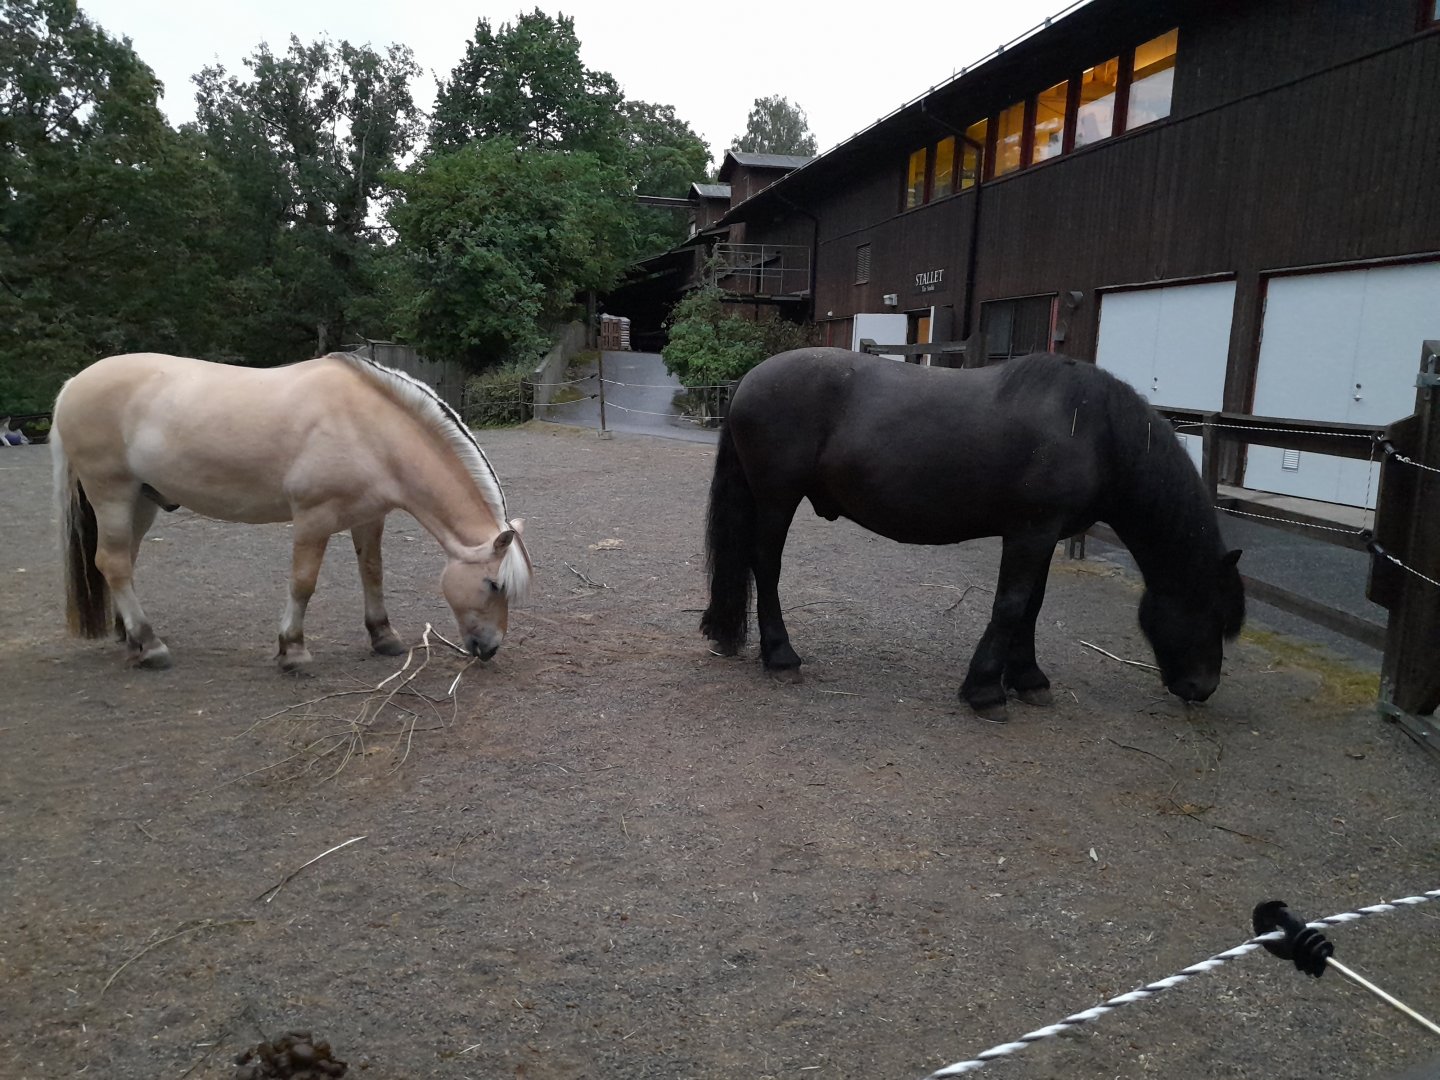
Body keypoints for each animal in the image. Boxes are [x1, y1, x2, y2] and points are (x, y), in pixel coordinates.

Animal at [52, 351, 531, 670]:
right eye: (493, 584)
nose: (490, 648)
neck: (368, 428)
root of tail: (72, 384)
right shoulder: (312, 519)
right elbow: (303, 583)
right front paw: (293, 649)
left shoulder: (368, 517)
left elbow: (372, 573)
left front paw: (384, 637)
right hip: (112, 493)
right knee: (113, 563)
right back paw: (150, 646)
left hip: (141, 501)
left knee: (123, 561)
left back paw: (129, 638)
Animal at [700, 348, 1244, 722]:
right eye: (1214, 613)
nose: (1203, 688)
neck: (1092, 430)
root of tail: (749, 380)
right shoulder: (1030, 533)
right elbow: (1010, 605)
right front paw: (985, 690)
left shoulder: (1044, 536)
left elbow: (1031, 606)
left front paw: (1028, 679)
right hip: (777, 500)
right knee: (765, 567)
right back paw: (780, 657)